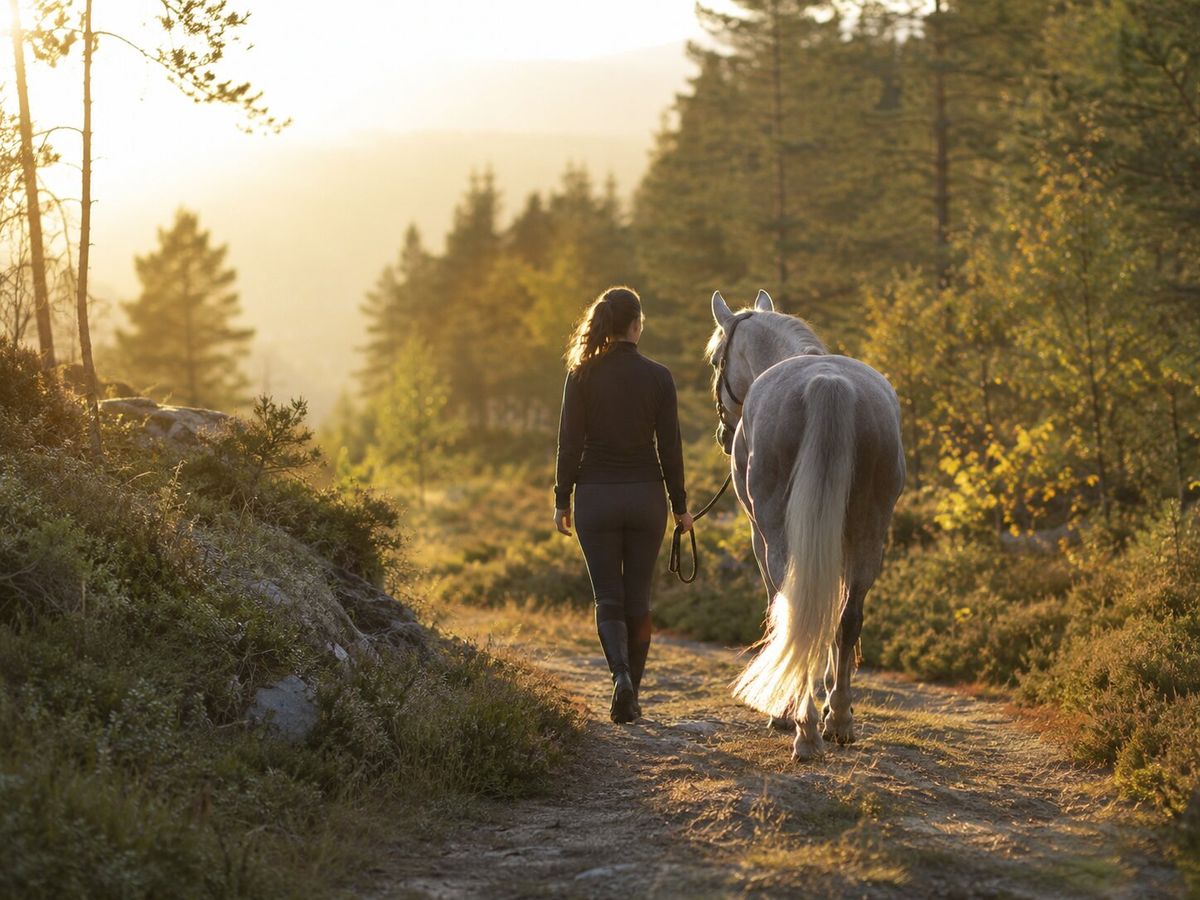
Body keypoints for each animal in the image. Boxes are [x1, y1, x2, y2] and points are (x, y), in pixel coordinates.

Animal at [707, 290, 905, 760]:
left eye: (716, 360)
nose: (723, 435)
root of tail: (827, 385)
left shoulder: (759, 537)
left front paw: (787, 713)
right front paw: (832, 705)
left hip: (778, 534)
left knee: (793, 611)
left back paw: (805, 729)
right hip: (869, 531)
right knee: (848, 617)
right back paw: (839, 721)